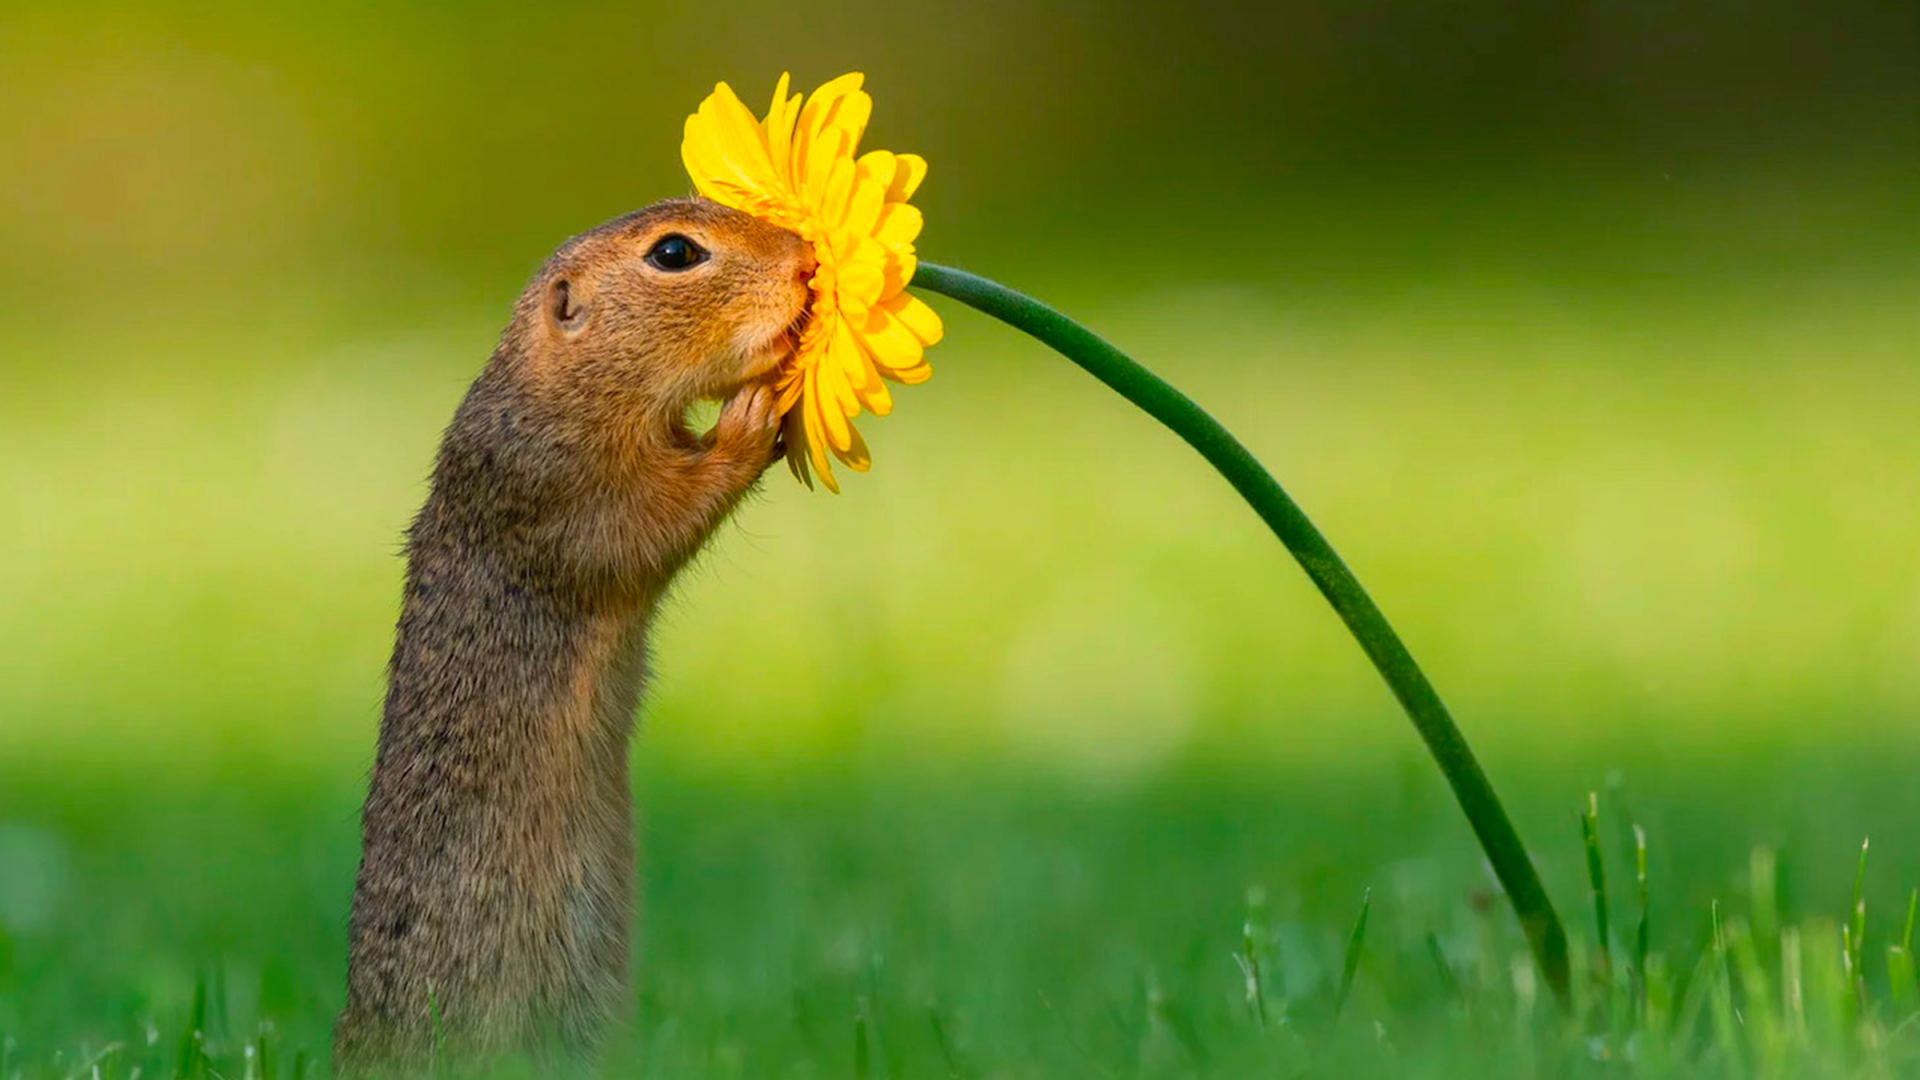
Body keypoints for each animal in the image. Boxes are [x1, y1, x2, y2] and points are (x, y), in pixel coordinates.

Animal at [336, 197, 810, 1060]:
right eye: (675, 253)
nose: (803, 259)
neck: (562, 384)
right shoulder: (562, 485)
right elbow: (652, 521)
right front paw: (753, 417)